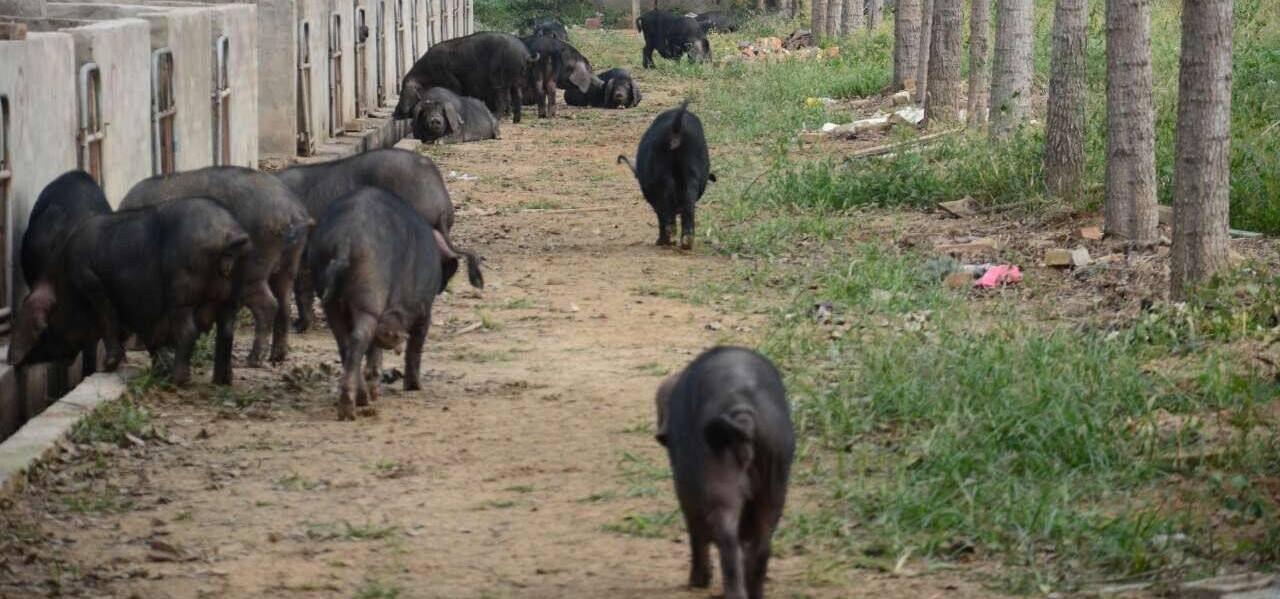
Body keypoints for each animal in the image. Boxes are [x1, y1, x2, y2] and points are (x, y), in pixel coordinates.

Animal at [308, 186, 445, 422]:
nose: (397, 337)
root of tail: (345, 241)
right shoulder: (423, 308)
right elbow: (416, 344)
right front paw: (414, 386)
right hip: (369, 302)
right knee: (359, 338)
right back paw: (352, 407)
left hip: (331, 303)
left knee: (346, 343)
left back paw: (359, 399)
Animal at [616, 99, 716, 248]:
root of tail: (676, 128)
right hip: (692, 170)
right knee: (688, 201)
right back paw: (687, 241)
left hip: (662, 174)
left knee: (667, 204)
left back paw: (667, 238)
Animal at [655, 345, 793, 599]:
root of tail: (741, 411)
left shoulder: (686, 487)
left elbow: (695, 531)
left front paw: (698, 581)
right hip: (774, 487)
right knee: (761, 547)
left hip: (718, 484)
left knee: (726, 538)